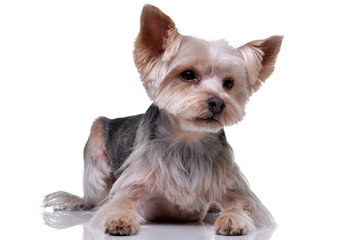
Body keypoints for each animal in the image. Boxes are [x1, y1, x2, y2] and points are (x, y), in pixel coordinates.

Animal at [43, 3, 282, 236]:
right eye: (187, 74)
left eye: (229, 83)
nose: (218, 103)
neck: (188, 140)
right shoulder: (133, 184)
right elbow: (120, 202)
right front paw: (119, 219)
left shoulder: (235, 187)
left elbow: (245, 204)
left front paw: (233, 219)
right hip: (96, 143)